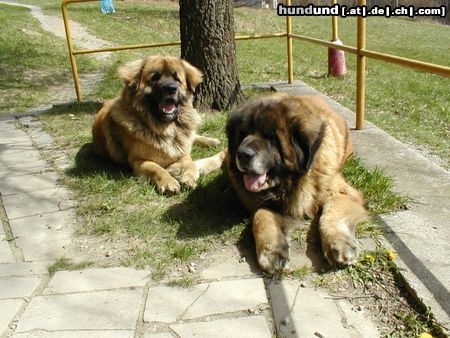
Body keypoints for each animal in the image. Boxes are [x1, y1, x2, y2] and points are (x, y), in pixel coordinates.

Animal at [92, 55, 219, 193]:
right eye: (154, 78)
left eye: (176, 78)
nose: (171, 88)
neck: (164, 128)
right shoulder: (138, 160)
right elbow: (156, 168)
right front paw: (168, 182)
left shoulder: (182, 154)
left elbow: (190, 163)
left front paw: (188, 178)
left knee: (193, 136)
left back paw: (212, 141)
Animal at [201, 93, 370, 274]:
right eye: (243, 133)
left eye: (271, 136)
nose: (242, 154)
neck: (290, 182)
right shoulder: (262, 203)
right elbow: (260, 219)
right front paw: (272, 250)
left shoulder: (341, 191)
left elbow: (330, 214)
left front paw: (339, 244)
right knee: (224, 154)